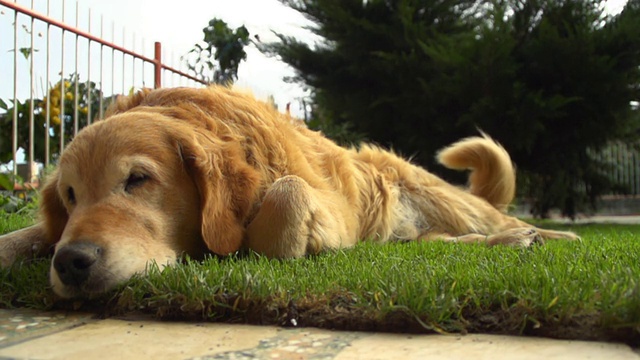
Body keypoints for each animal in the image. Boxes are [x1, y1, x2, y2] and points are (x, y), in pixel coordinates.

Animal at [0, 86, 580, 296]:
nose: (72, 262)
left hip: (448, 201)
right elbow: (27, 236)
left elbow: (284, 199)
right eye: (70, 197)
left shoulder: (330, 207)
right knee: (445, 245)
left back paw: (548, 237)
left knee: (502, 222)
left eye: (137, 179)